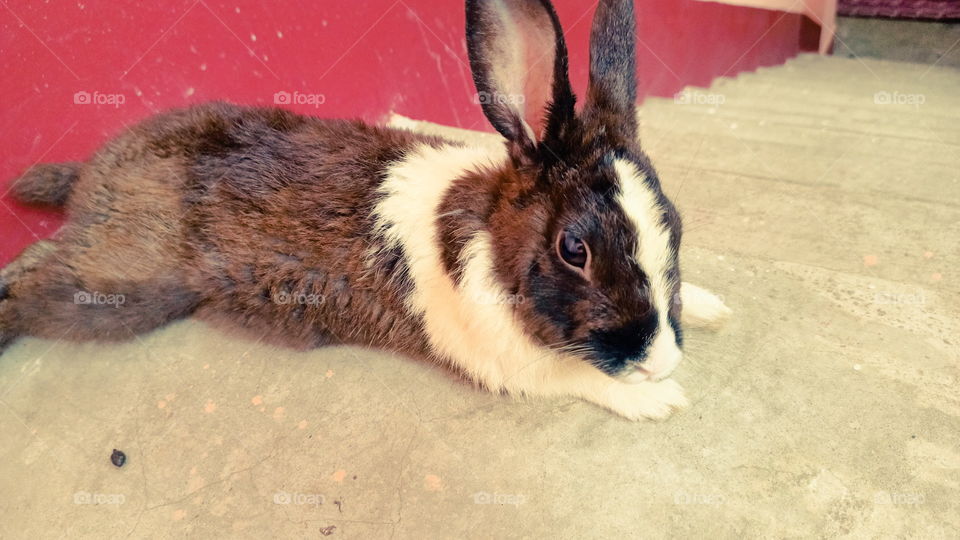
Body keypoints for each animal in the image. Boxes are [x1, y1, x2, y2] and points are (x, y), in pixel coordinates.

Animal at [0, 0, 731, 420]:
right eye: (573, 249)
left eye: (674, 225)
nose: (659, 360)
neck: (491, 237)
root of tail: (91, 175)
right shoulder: (504, 360)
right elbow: (571, 376)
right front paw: (656, 398)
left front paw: (711, 306)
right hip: (121, 286)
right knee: (38, 278)